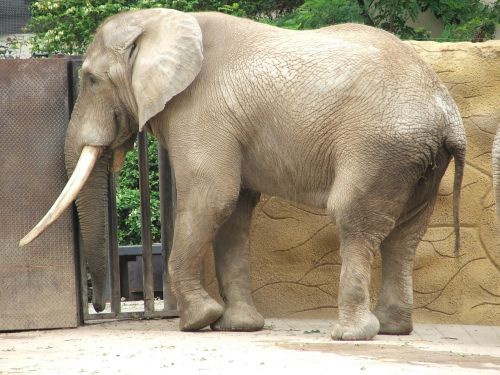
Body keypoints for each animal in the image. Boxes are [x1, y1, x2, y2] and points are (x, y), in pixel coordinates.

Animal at [18, 8, 464, 342]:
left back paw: (350, 334)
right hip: (416, 159)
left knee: (353, 218)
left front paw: (198, 321)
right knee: (406, 233)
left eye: (91, 79)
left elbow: (212, 196)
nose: (96, 304)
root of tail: (445, 109)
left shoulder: (199, 110)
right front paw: (238, 326)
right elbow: (234, 211)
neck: (160, 20)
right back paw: (393, 329)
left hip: (378, 145)